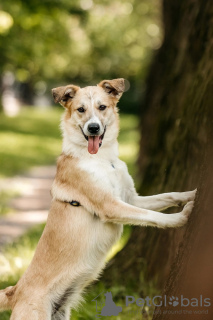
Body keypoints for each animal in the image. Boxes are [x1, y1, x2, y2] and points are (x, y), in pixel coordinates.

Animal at [0, 78, 196, 320]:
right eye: (81, 109)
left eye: (102, 107)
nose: (93, 128)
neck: (102, 159)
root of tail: (14, 290)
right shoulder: (110, 206)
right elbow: (152, 216)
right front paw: (181, 217)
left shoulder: (130, 198)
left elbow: (166, 197)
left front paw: (192, 194)